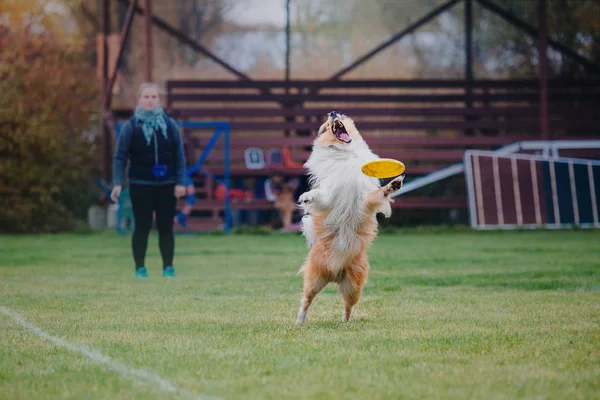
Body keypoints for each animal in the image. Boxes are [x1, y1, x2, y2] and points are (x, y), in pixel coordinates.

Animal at [296, 111, 404, 324]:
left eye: (341, 115)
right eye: (325, 125)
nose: (332, 112)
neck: (345, 153)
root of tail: (334, 273)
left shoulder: (366, 200)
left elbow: (379, 193)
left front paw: (393, 185)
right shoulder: (329, 199)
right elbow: (320, 196)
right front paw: (307, 196)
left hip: (353, 285)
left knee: (348, 306)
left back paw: (345, 323)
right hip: (314, 279)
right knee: (306, 300)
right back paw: (299, 322)